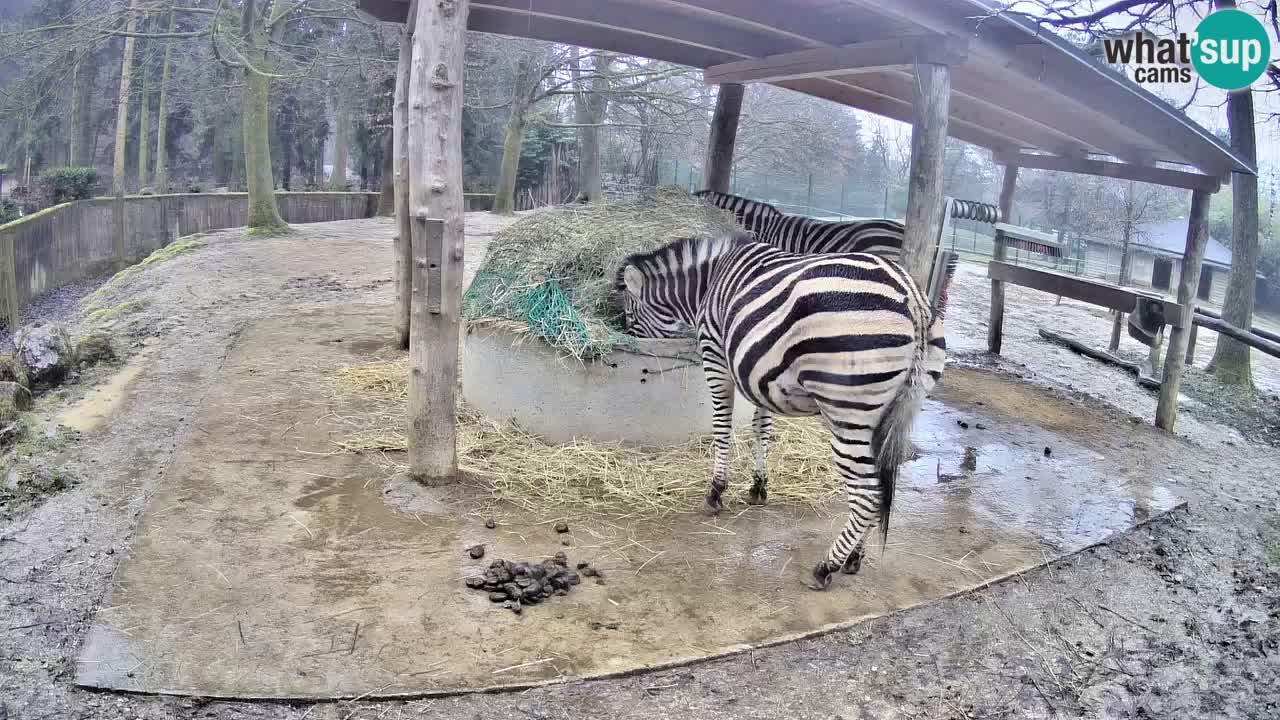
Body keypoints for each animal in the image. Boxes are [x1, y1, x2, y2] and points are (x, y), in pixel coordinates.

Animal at [616, 231, 947, 590]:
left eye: (630, 316)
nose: (625, 339)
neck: (707, 283)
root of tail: (912, 297)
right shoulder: (761, 372)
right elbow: (762, 428)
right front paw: (758, 487)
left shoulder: (715, 354)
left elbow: (722, 426)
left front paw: (716, 491)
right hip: (892, 411)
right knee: (882, 490)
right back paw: (853, 558)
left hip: (848, 412)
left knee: (869, 494)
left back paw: (826, 566)